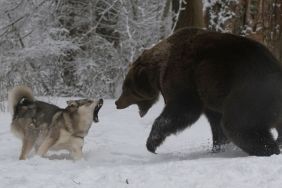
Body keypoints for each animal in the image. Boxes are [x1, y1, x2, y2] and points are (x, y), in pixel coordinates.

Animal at [115, 27, 282, 156]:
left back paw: (268, 149)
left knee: (237, 124)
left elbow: (182, 110)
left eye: (125, 88)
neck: (159, 70)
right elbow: (215, 124)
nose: (117, 103)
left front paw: (151, 143)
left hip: (250, 92)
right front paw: (217, 147)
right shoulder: (209, 95)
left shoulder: (186, 80)